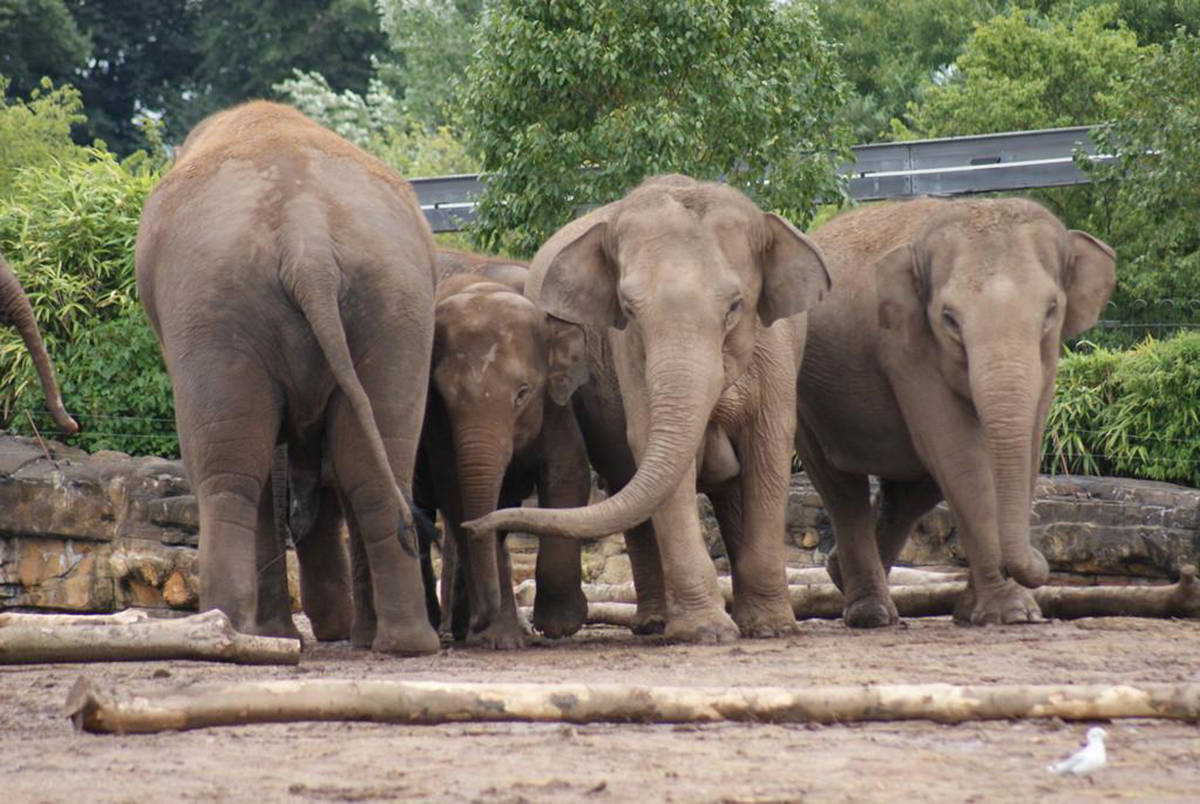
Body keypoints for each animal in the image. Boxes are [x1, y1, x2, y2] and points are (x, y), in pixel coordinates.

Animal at [136, 99, 444, 652]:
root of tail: (308, 243)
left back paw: (227, 627)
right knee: (379, 463)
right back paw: (405, 645)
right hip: (395, 303)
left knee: (229, 471)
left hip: (215, 311)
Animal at [415, 252, 592, 648]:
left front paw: (559, 624)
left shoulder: (556, 405)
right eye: (442, 396)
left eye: (522, 394)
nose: (480, 619)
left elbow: (568, 474)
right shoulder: (437, 427)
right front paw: (502, 639)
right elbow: (458, 493)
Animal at [463, 172, 830, 648]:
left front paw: (772, 628)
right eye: (629, 309)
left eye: (735, 306)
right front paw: (706, 632)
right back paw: (655, 623)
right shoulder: (628, 357)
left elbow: (769, 447)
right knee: (627, 481)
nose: (473, 525)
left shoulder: (777, 351)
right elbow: (651, 449)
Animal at [796, 196, 1113, 628]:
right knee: (842, 489)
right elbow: (960, 454)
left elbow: (1025, 449)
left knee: (912, 491)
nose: (1041, 558)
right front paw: (1012, 614)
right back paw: (871, 614)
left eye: (1051, 310)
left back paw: (836, 573)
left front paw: (979, 612)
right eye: (949, 318)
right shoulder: (907, 349)